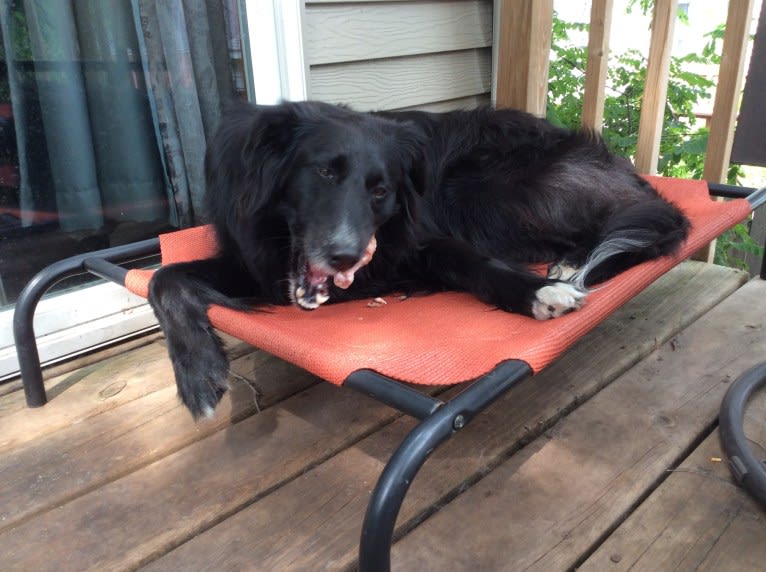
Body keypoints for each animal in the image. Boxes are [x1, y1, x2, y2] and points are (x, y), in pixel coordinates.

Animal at [147, 100, 692, 418]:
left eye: (381, 190)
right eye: (323, 172)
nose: (344, 256)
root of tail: (625, 170)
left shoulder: (419, 237)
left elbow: (474, 262)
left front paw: (536, 291)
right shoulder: (250, 263)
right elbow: (163, 278)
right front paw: (198, 371)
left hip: (485, 189)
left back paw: (572, 264)